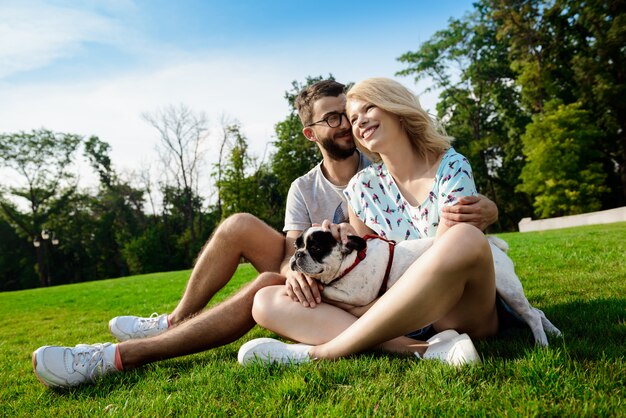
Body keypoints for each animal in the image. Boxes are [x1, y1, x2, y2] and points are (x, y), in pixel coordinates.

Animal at [292, 225, 560, 346]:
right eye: (297, 245)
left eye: (316, 248)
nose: (297, 255)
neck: (352, 260)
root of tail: (492, 244)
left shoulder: (358, 293)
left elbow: (328, 288)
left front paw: (315, 287)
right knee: (536, 311)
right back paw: (554, 332)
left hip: (506, 288)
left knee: (531, 315)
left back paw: (542, 342)